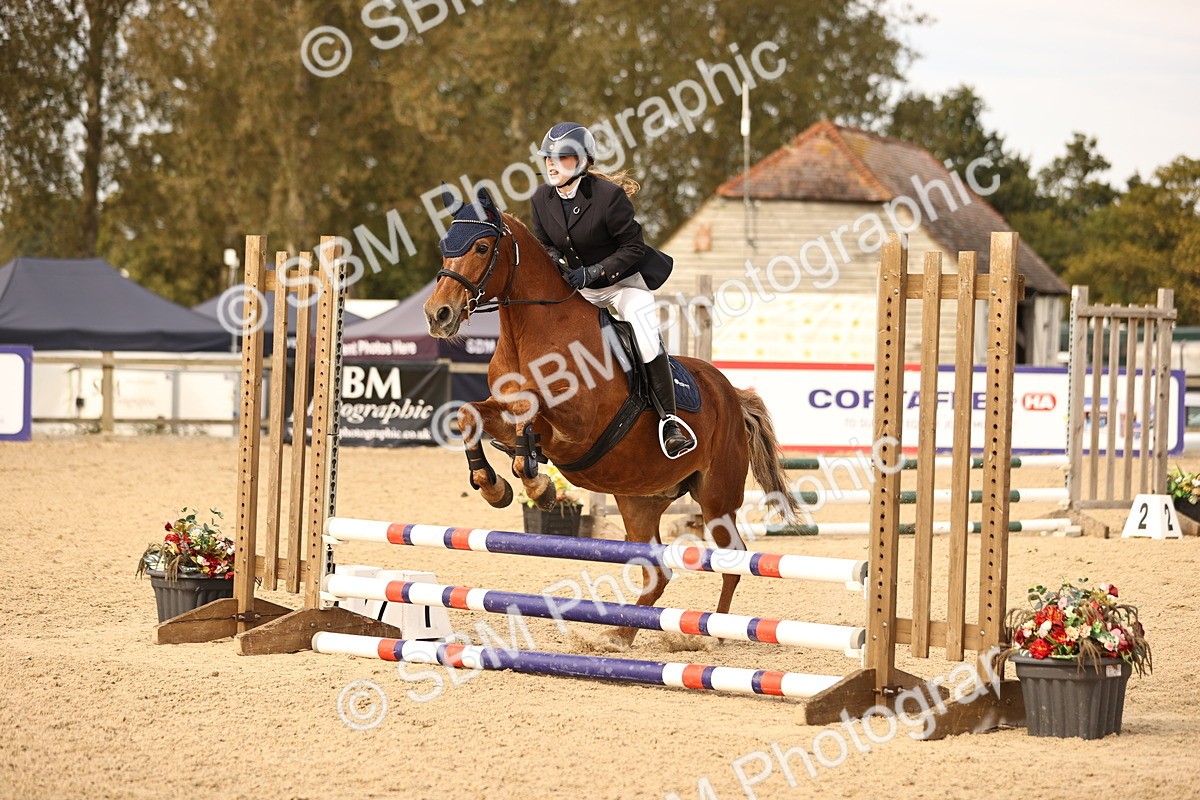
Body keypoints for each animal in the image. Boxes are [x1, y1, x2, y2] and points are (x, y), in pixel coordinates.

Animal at [424, 187, 798, 645]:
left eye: (480, 247)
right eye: (446, 246)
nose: (437, 314)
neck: (532, 334)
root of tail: (731, 393)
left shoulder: (577, 427)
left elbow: (533, 417)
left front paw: (539, 487)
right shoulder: (503, 407)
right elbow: (470, 415)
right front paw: (494, 486)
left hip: (717, 495)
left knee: (733, 559)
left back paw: (711, 634)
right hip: (640, 499)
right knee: (658, 572)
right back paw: (619, 635)